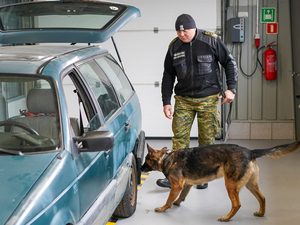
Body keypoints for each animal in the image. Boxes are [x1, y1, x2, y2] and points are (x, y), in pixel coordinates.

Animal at [141, 142, 300, 221]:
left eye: (145, 160)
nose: (140, 168)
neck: (166, 158)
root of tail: (250, 151)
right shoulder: (186, 185)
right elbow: (181, 196)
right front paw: (178, 202)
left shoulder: (176, 185)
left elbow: (168, 199)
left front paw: (163, 208)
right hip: (250, 185)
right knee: (262, 198)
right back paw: (261, 213)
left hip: (230, 184)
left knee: (237, 204)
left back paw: (226, 218)